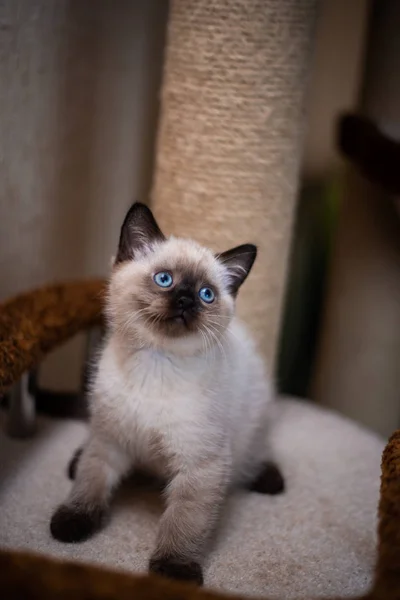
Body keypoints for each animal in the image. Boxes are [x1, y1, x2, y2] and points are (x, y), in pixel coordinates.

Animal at [50, 202, 284, 584]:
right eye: (164, 280)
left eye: (206, 295)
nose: (186, 300)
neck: (156, 363)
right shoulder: (109, 439)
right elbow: (90, 481)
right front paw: (72, 523)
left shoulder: (200, 465)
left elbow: (183, 522)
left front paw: (174, 571)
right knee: (85, 460)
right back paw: (74, 462)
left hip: (252, 432)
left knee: (256, 459)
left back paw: (270, 480)